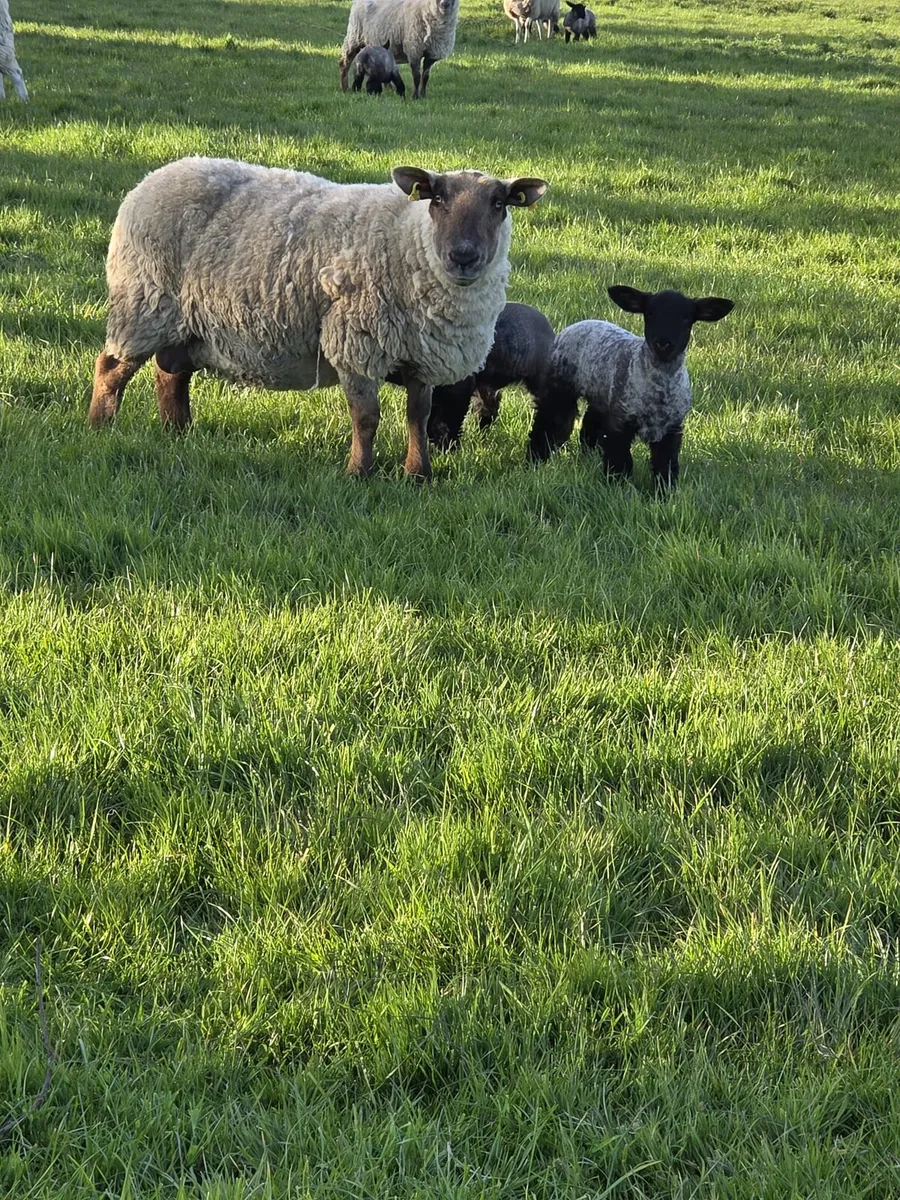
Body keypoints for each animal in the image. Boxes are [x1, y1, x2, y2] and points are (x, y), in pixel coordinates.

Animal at [528, 286, 734, 488]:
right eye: (649, 313)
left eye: (685, 318)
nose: (663, 343)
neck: (659, 389)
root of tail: (575, 325)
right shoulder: (621, 422)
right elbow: (620, 461)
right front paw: (616, 487)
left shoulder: (672, 429)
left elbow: (665, 465)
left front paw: (663, 493)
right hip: (559, 388)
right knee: (547, 423)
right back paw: (535, 461)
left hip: (601, 395)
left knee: (590, 425)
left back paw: (588, 457)